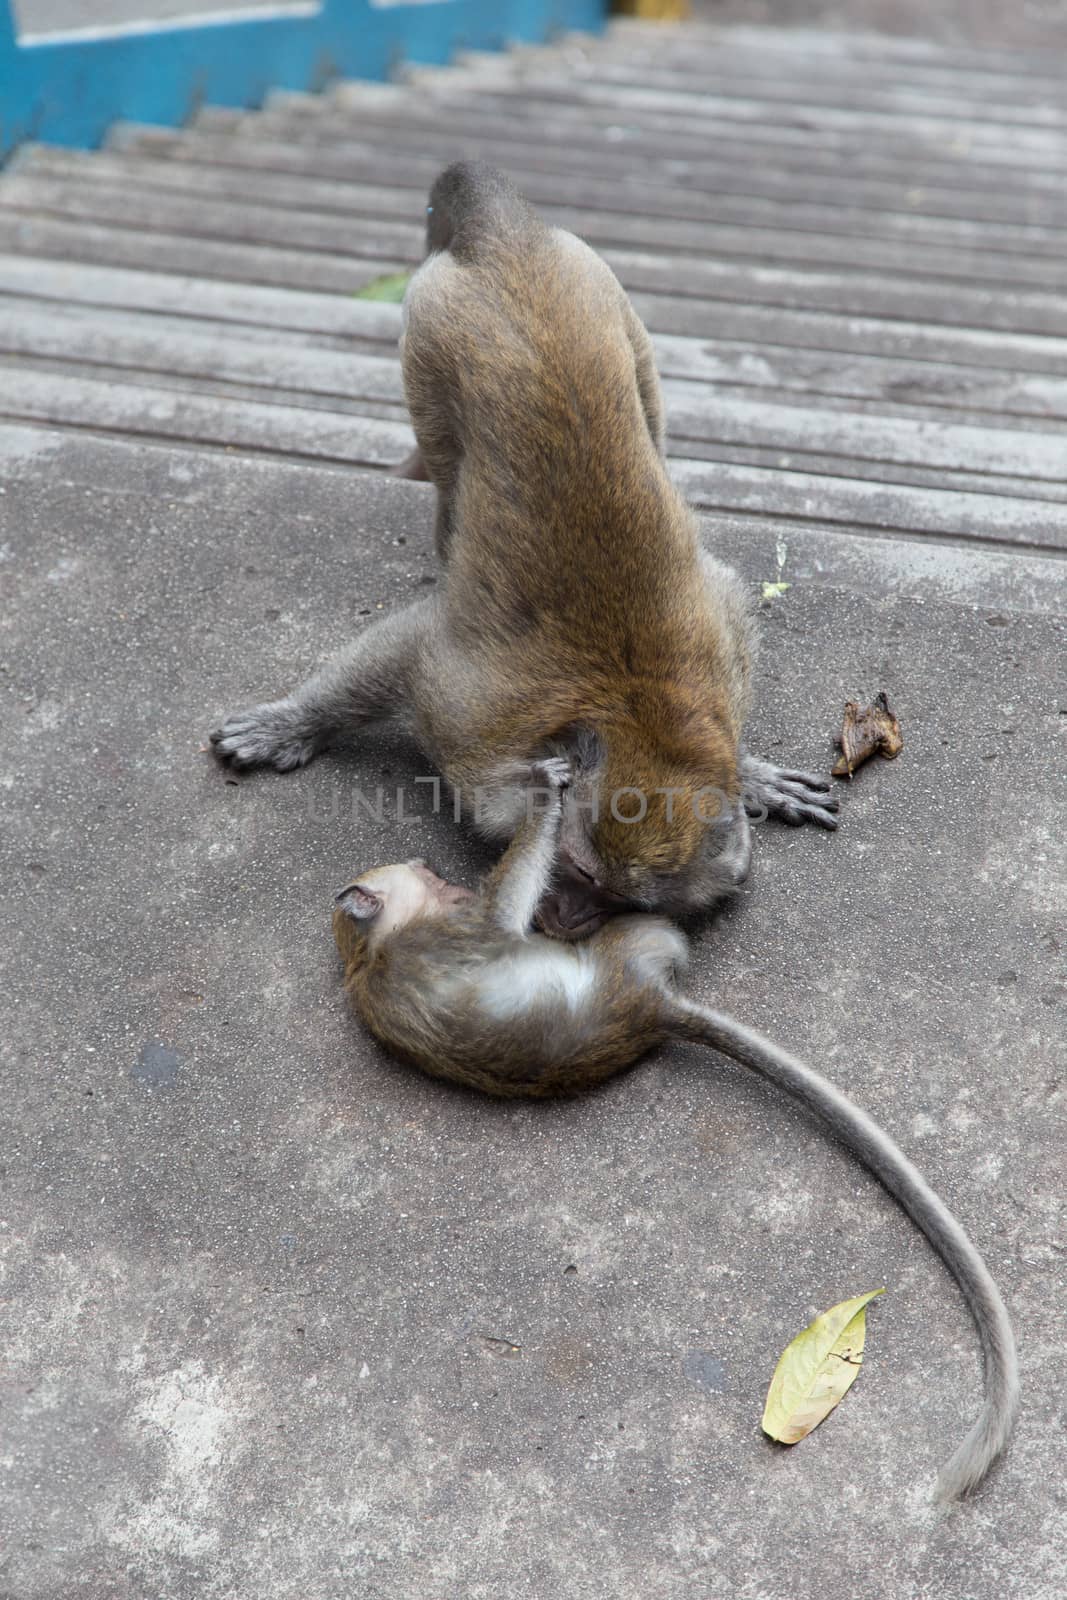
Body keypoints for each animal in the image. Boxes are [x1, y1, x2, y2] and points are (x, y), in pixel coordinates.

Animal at [212, 159, 838, 934]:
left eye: (622, 903)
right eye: (579, 871)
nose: (567, 920)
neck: (640, 719)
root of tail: (511, 240)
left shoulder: (721, 665)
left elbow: (723, 588)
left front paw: (747, 774)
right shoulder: (471, 717)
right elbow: (409, 651)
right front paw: (292, 722)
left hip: (608, 293)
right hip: (431, 337)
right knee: (448, 473)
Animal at [335, 761, 1017, 1497]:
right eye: (422, 876)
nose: (436, 869)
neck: (370, 954)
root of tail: (652, 1007)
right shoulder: (459, 934)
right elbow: (499, 913)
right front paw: (545, 792)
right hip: (628, 944)